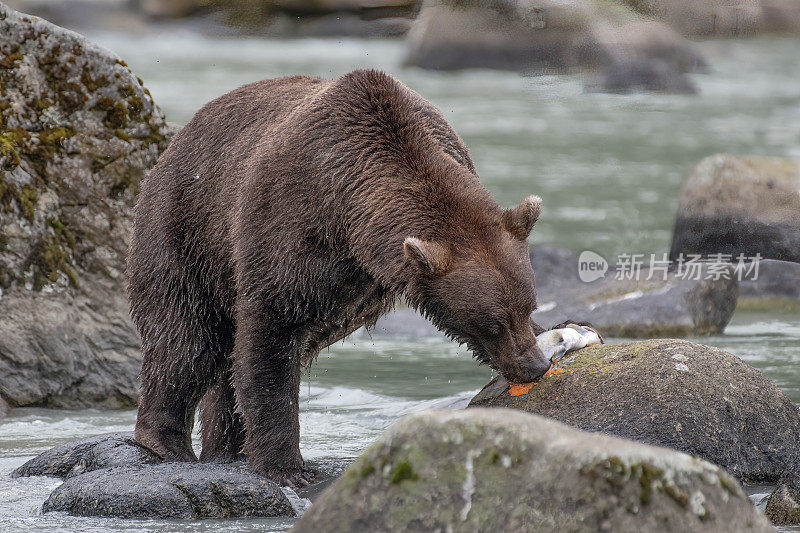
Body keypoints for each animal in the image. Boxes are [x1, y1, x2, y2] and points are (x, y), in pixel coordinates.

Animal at [130, 67, 556, 486]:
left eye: (526, 306)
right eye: (493, 323)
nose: (535, 366)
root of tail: (174, 141)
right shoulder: (289, 224)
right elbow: (270, 340)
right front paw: (287, 467)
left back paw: (224, 448)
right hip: (187, 231)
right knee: (186, 339)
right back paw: (167, 441)